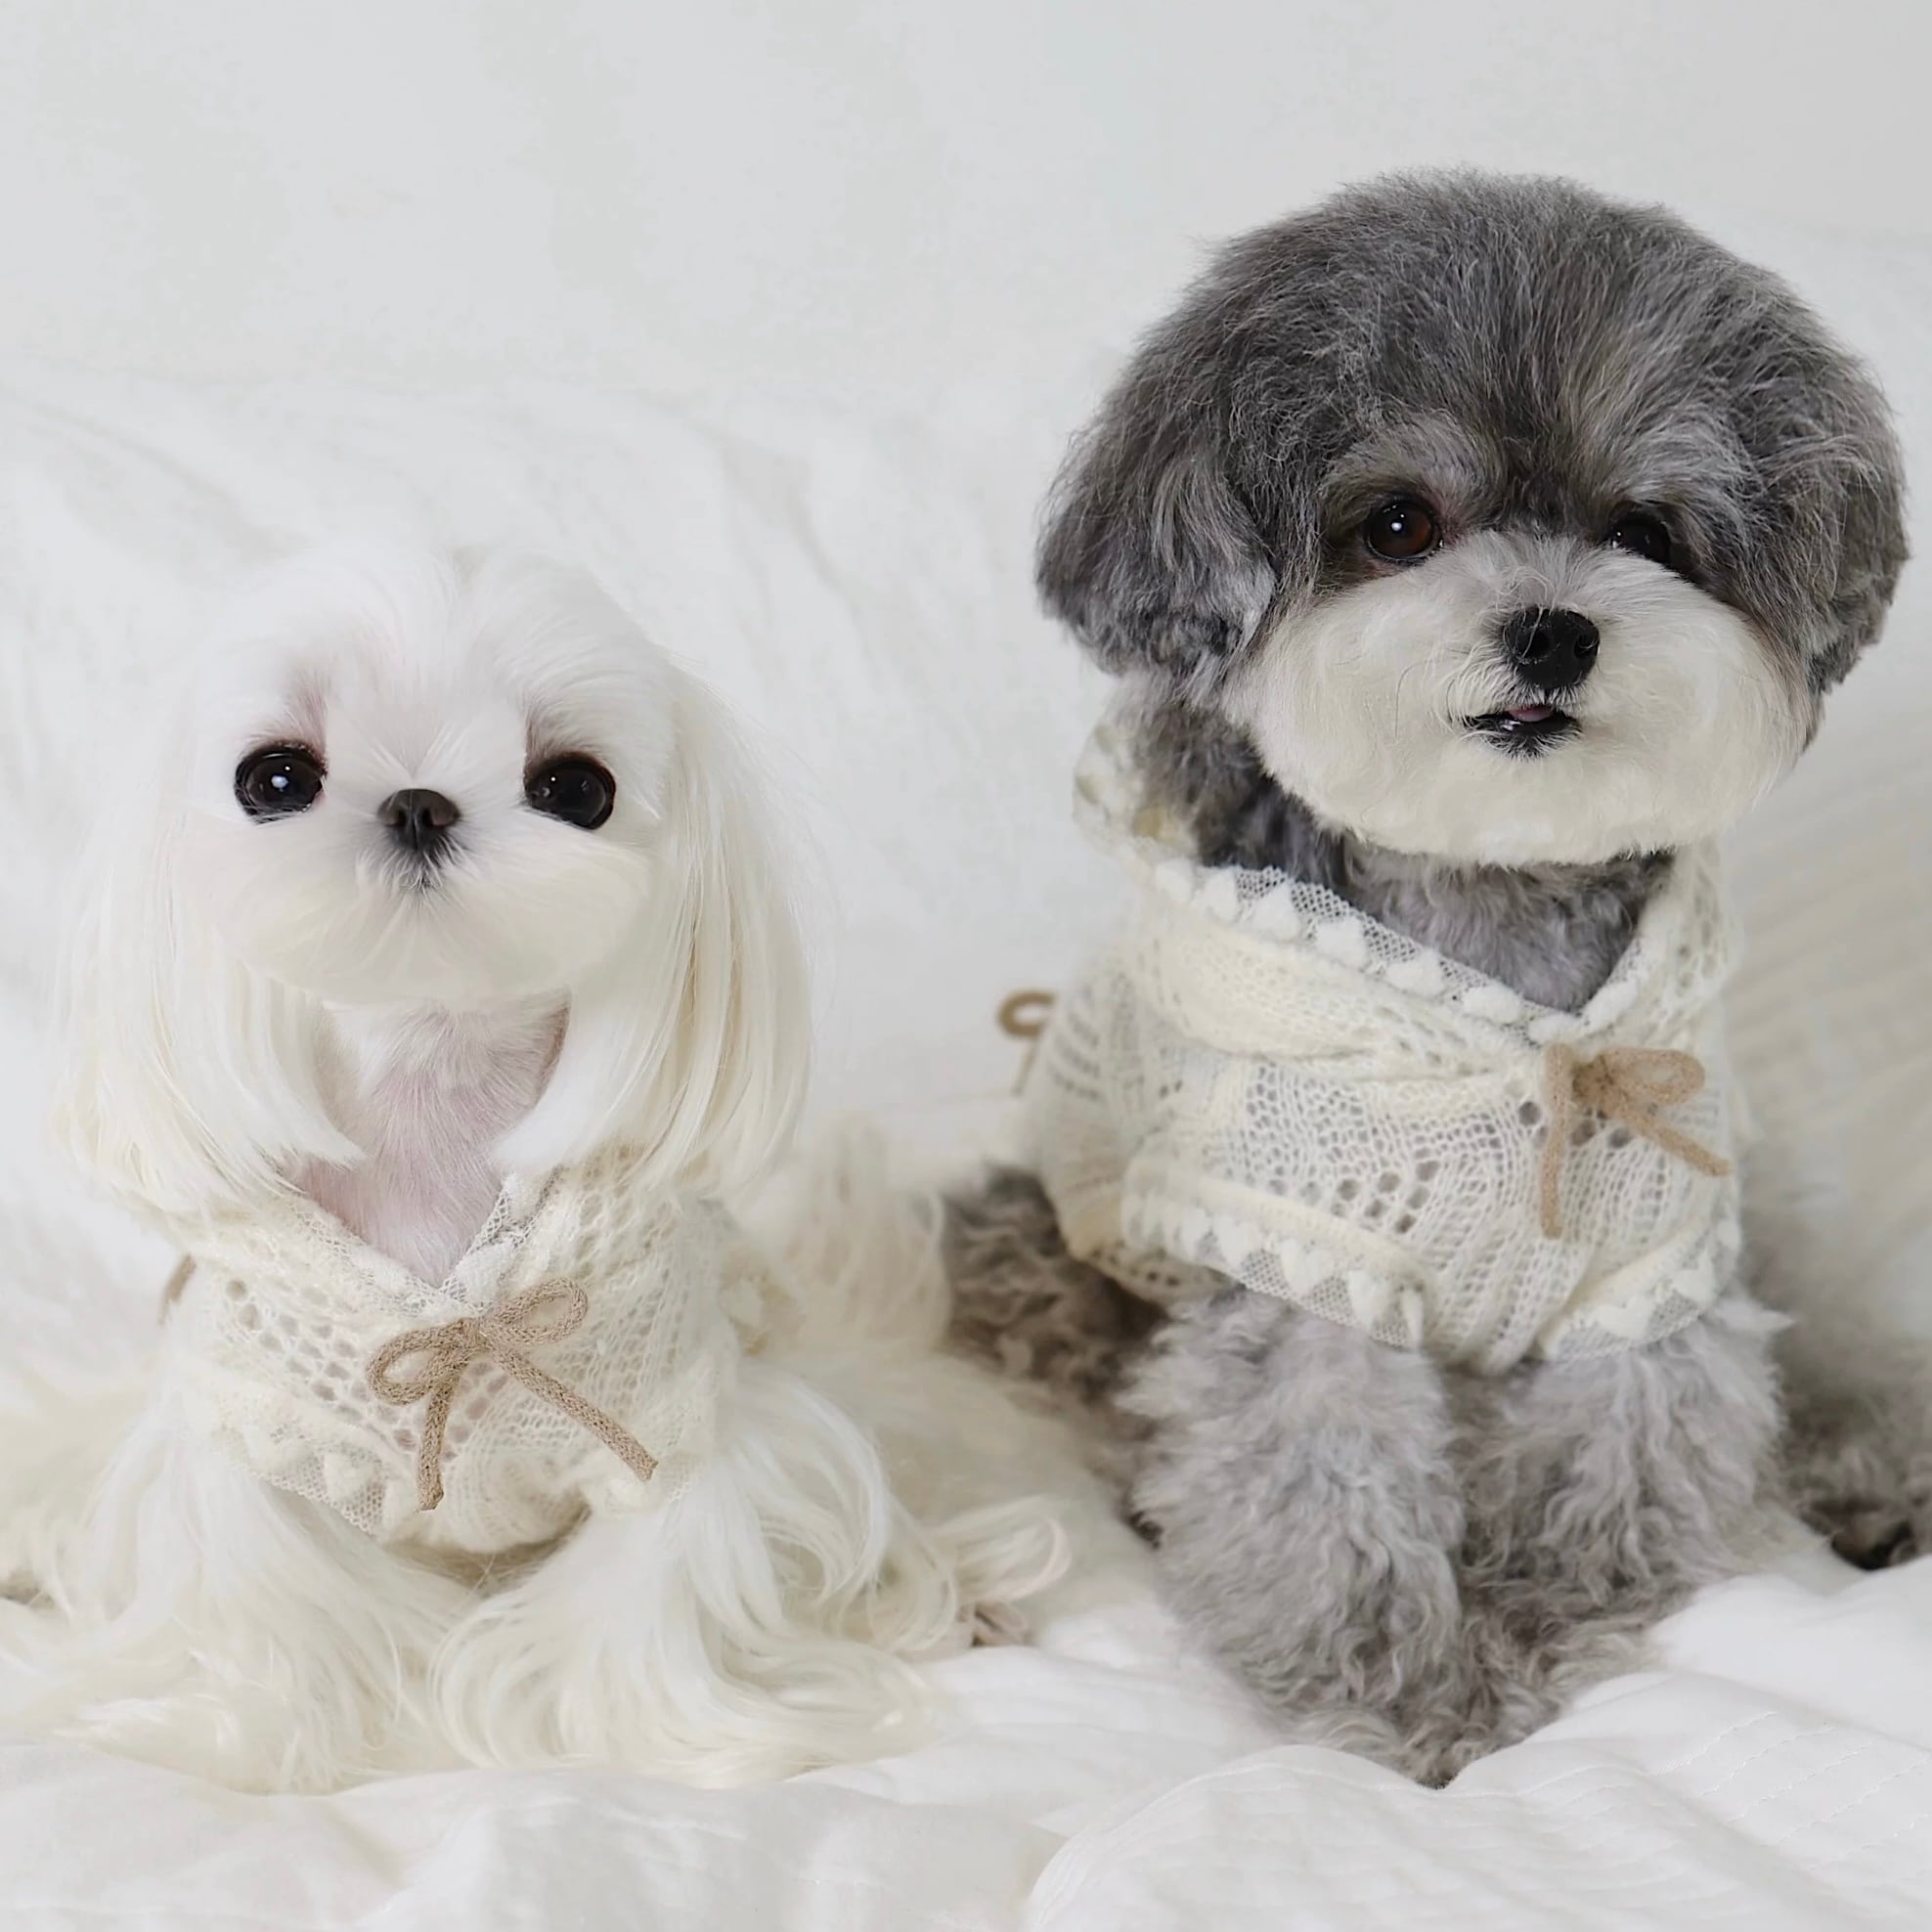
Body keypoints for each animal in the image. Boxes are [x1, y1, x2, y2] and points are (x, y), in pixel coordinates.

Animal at [0, 540, 1065, 1792]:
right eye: (274, 777)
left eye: (574, 787)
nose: (417, 799)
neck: (432, 1102)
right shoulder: (250, 1434)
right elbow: (274, 1610)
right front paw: (256, 1730)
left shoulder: (674, 1417)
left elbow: (645, 1594)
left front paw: (642, 1736)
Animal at [947, 172, 1908, 1783]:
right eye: (1397, 523)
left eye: (1645, 528)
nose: (1552, 629)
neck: (1483, 931)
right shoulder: (1297, 1266)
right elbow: (1322, 1488)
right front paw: (1413, 1705)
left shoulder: (1652, 1274)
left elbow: (1619, 1453)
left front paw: (1536, 1627)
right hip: (1038, 1253)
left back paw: (1871, 1474)